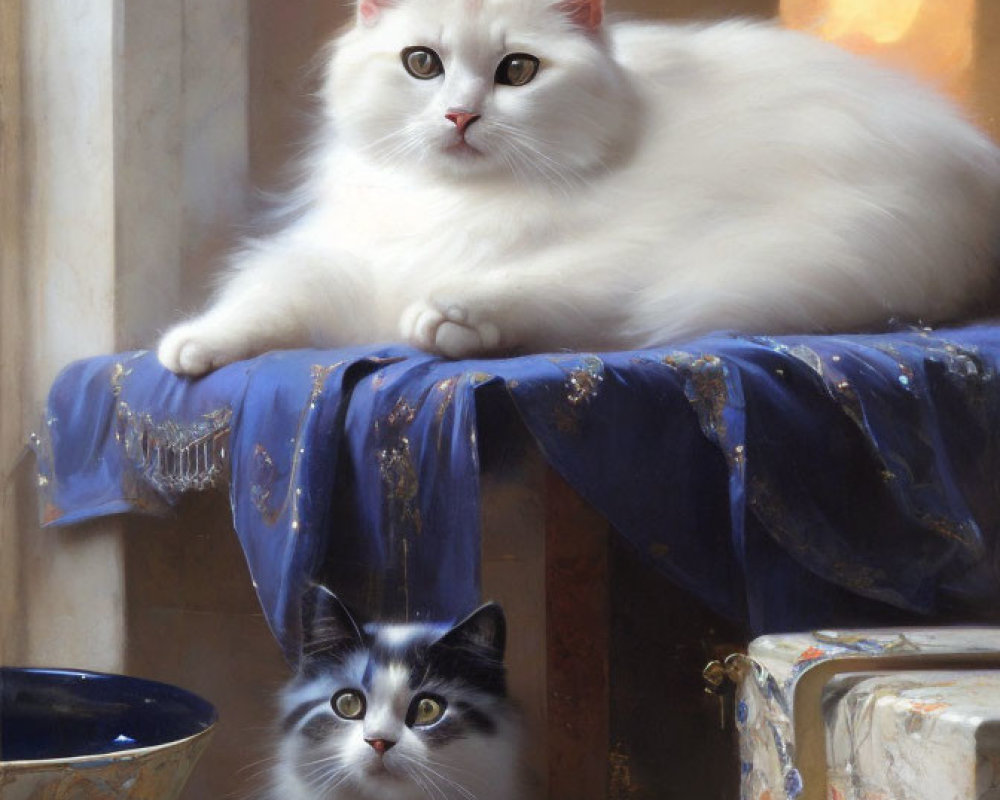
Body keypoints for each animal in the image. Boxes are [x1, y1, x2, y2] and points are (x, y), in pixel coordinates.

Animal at [156, 0, 1000, 376]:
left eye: (518, 71)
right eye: (421, 64)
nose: (461, 115)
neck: (464, 205)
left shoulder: (634, 252)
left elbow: (532, 285)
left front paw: (453, 318)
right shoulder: (348, 259)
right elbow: (265, 295)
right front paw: (191, 345)